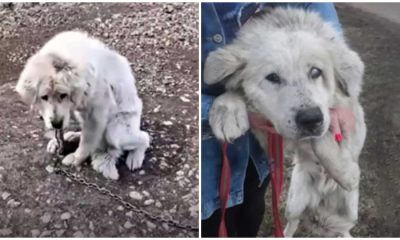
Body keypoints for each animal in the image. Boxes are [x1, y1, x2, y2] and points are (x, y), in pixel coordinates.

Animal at [15, 30, 150, 180]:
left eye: (63, 95)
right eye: (44, 97)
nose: (55, 123)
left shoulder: (96, 113)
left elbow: (87, 141)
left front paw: (75, 157)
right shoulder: (70, 110)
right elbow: (63, 130)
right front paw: (58, 141)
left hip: (114, 131)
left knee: (144, 137)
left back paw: (135, 157)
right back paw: (73, 135)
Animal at [205, 7, 368, 236]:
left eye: (315, 72)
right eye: (273, 77)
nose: (310, 119)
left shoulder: (352, 118)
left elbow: (325, 134)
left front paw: (347, 173)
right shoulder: (273, 137)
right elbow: (239, 94)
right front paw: (227, 111)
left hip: (349, 214)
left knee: (342, 230)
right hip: (294, 203)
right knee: (292, 223)